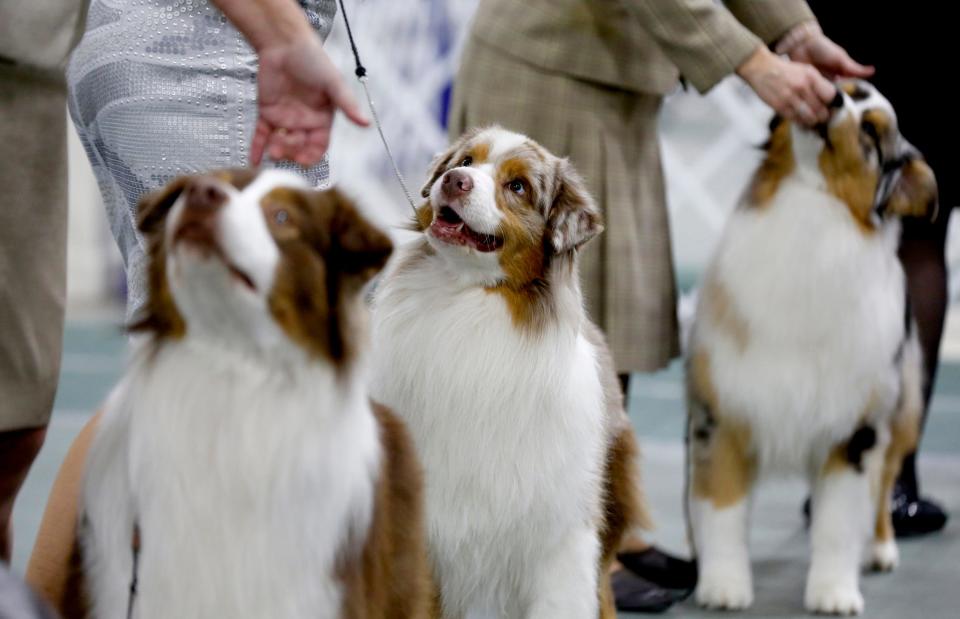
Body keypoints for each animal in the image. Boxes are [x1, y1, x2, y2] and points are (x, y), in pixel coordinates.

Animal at [688, 81, 940, 616]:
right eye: (846, 90)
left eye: (872, 133)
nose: (831, 100)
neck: (811, 205)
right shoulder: (721, 412)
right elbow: (721, 509)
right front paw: (723, 585)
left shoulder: (855, 430)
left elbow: (839, 524)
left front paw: (834, 592)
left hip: (902, 410)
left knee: (884, 487)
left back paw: (882, 547)